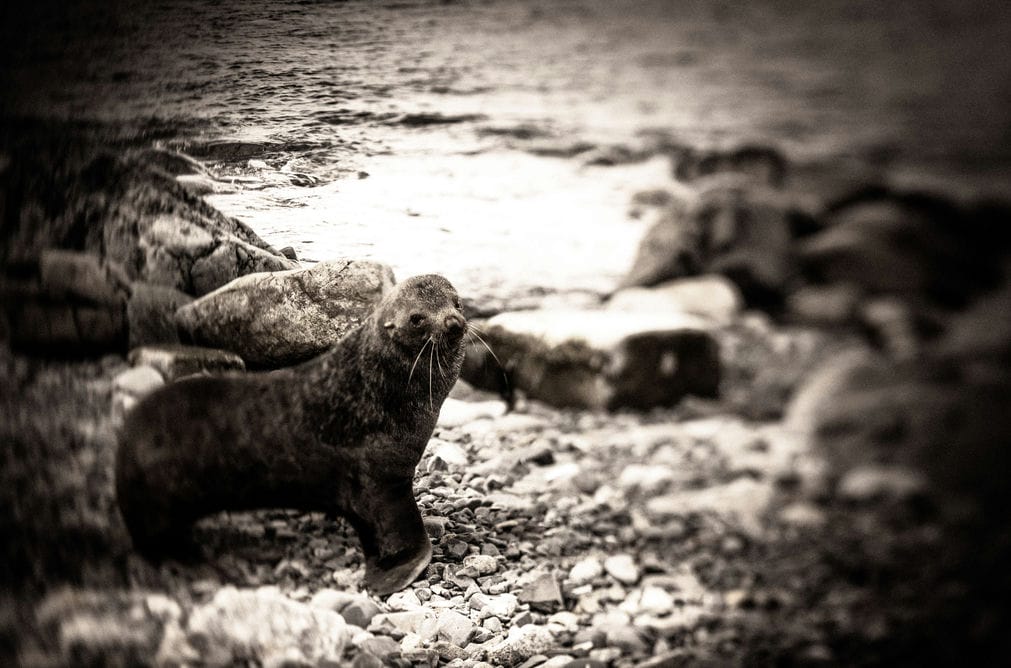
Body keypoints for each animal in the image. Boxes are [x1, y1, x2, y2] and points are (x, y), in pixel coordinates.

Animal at [115, 274, 467, 594]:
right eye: (417, 319)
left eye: (457, 302)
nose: (454, 323)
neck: (375, 390)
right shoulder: (379, 477)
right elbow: (393, 527)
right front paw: (394, 572)